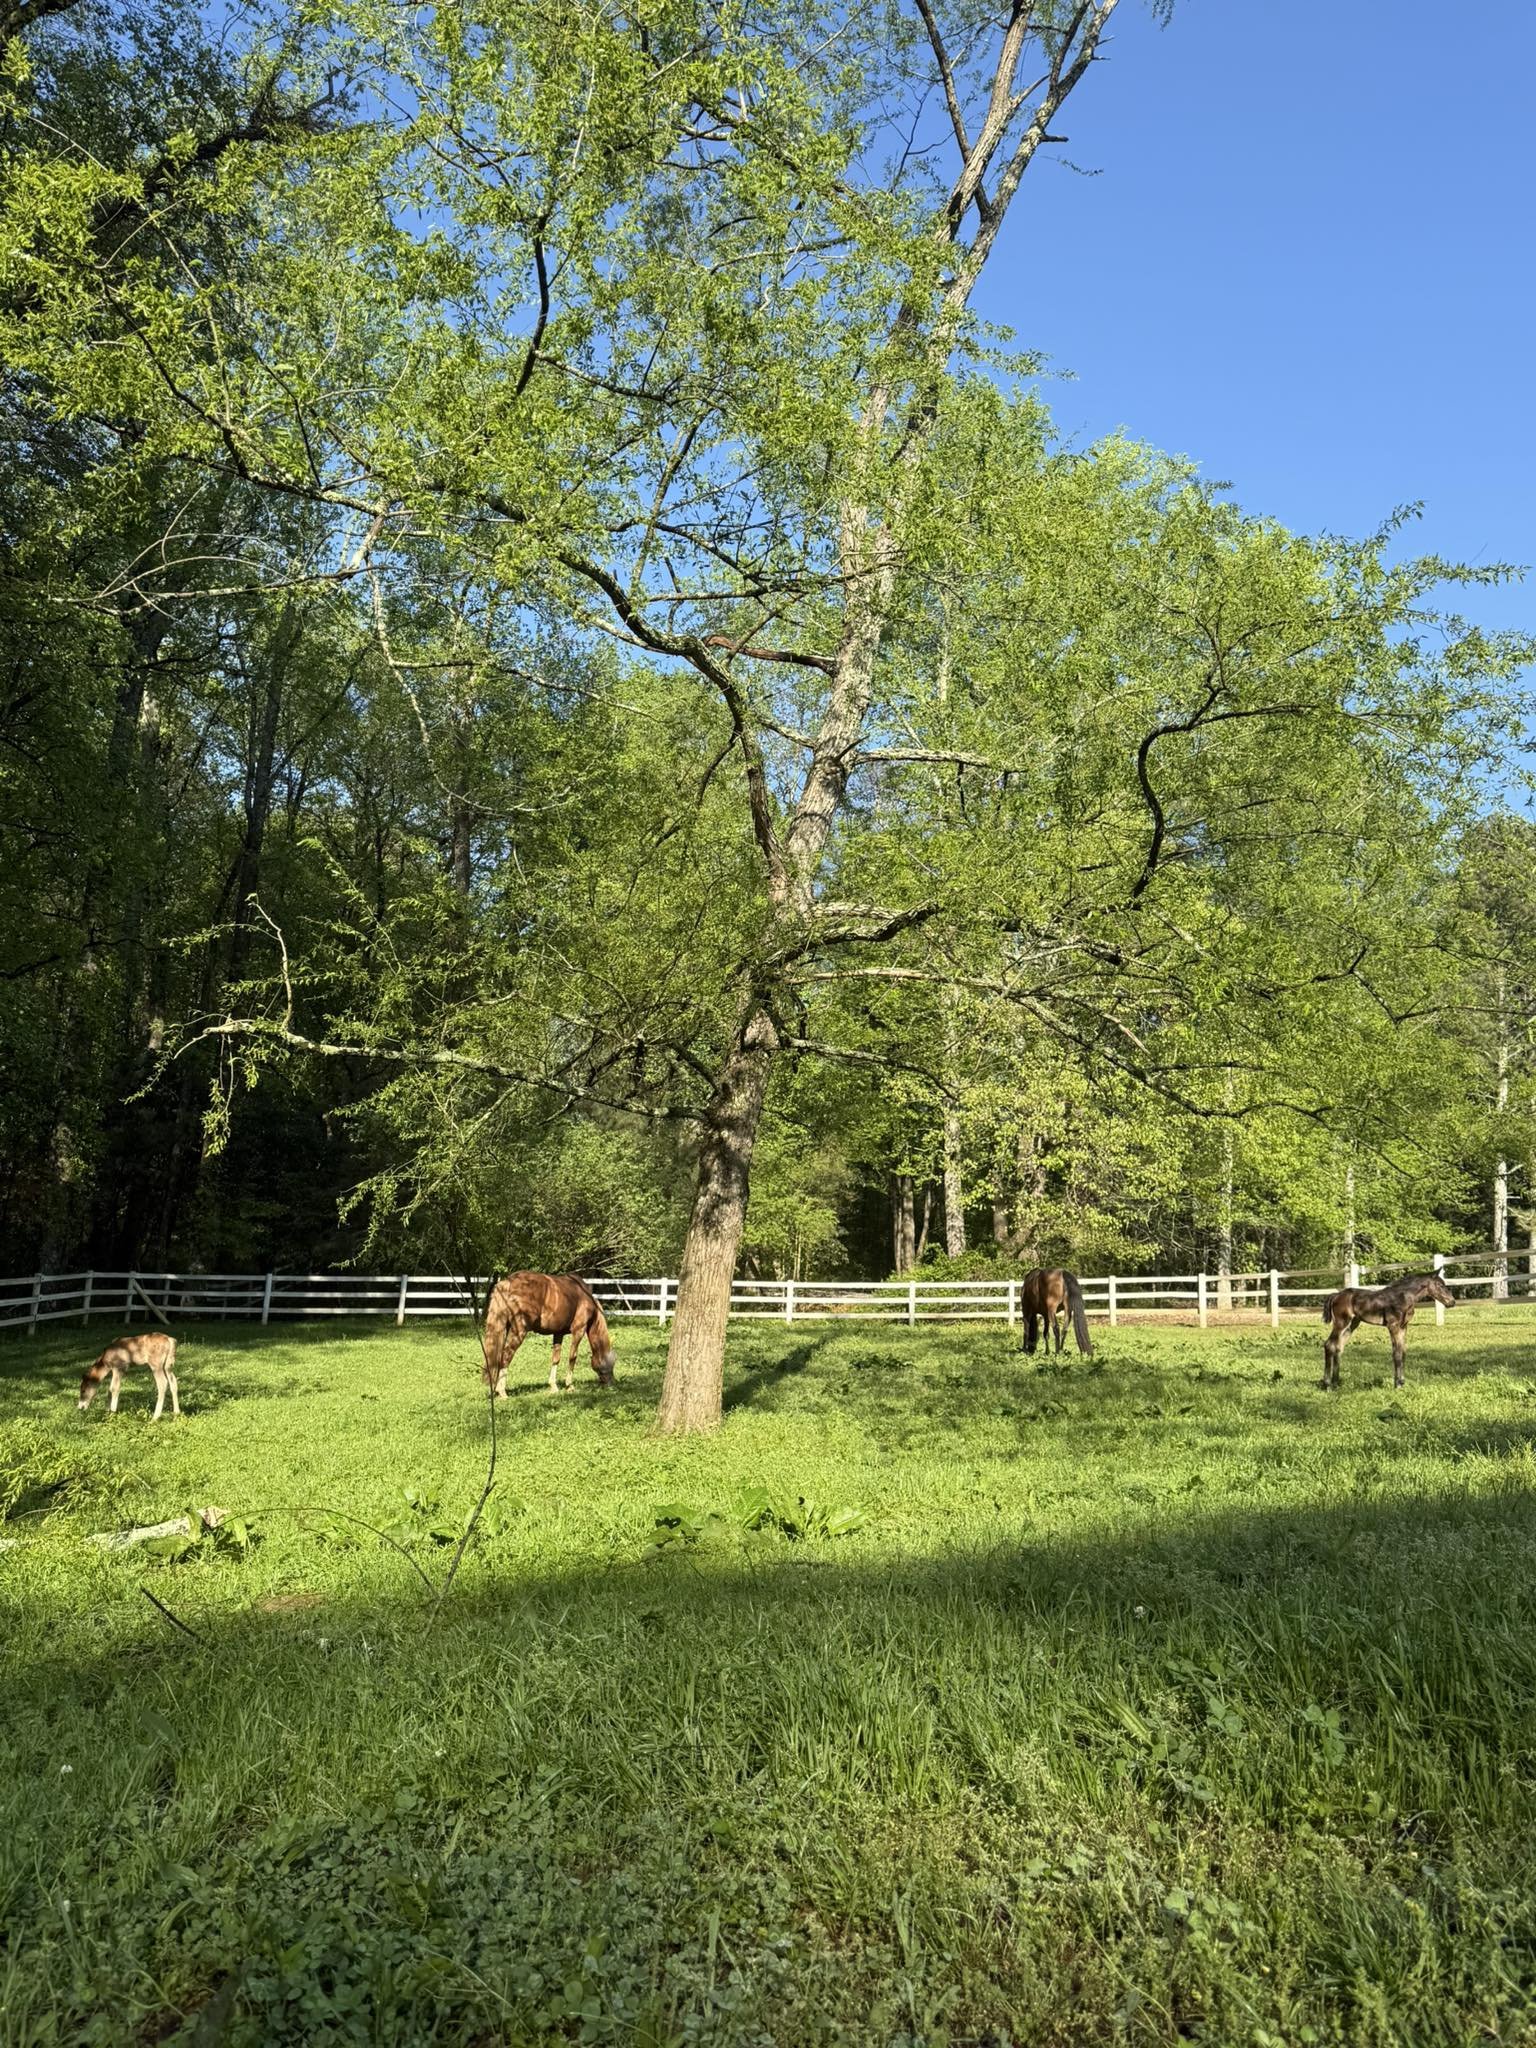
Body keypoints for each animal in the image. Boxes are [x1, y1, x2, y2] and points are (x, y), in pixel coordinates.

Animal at [481, 1272, 615, 1396]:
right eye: (611, 1363)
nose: (611, 1383)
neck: (584, 1295)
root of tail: (508, 1282)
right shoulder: (579, 1330)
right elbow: (572, 1357)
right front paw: (569, 1386)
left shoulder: (558, 1333)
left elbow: (556, 1358)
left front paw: (553, 1386)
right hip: (519, 1332)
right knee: (506, 1357)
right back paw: (502, 1392)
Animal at [1320, 1271, 1454, 1390]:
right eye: (1440, 1285)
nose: (1452, 1302)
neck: (1403, 1298)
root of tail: (1335, 1295)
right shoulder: (1393, 1326)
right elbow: (1396, 1353)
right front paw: (1397, 1384)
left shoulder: (1403, 1327)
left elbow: (1403, 1352)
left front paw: (1402, 1382)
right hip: (1341, 1323)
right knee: (1329, 1345)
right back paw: (1327, 1384)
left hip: (1352, 1325)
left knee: (1338, 1347)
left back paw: (1336, 1383)